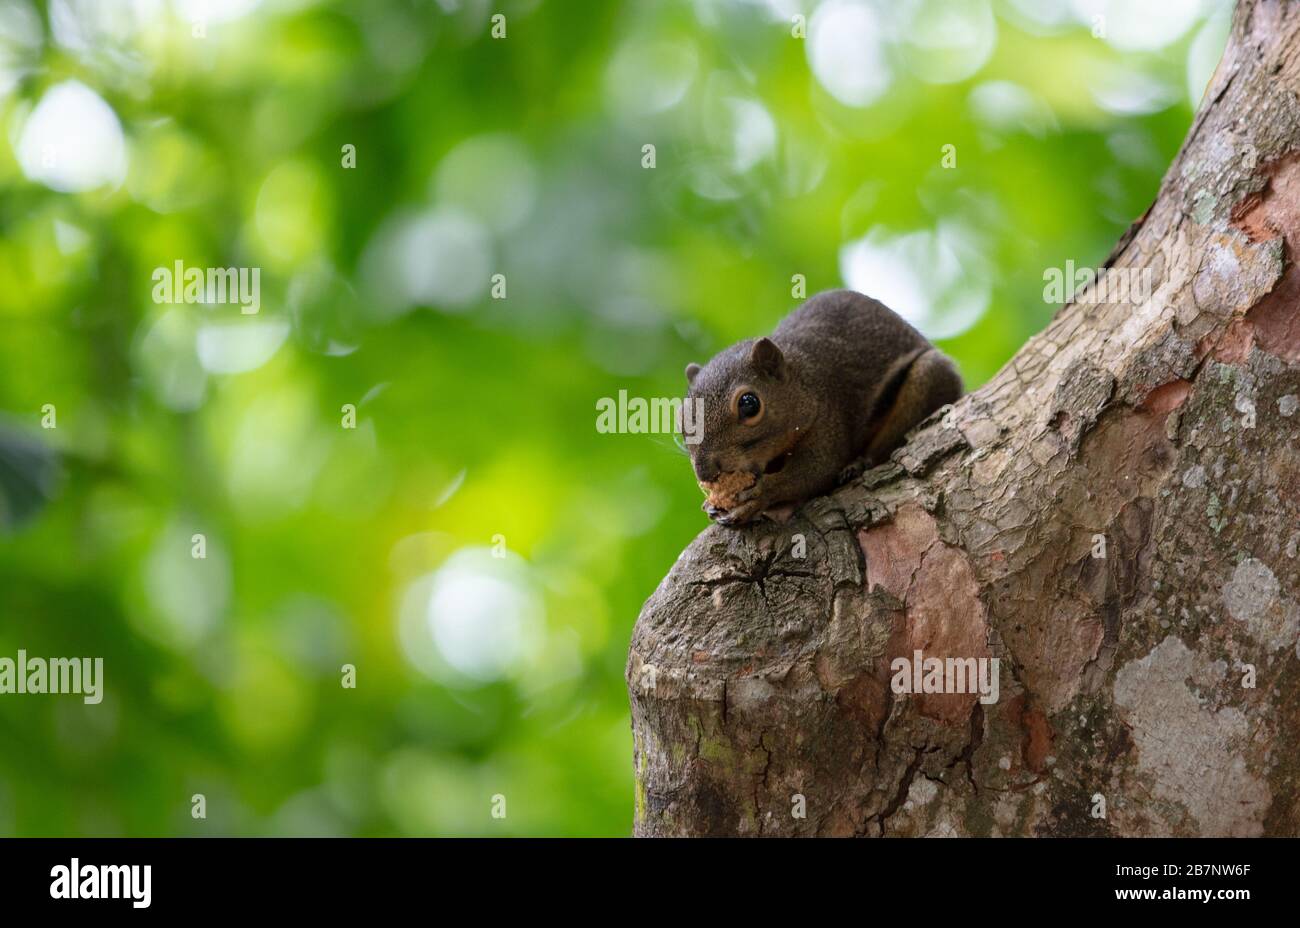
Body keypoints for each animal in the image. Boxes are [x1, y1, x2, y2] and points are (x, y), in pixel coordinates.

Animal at [686, 285, 961, 525]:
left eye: (749, 404)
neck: (801, 379)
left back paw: (859, 463)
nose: (705, 473)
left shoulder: (827, 416)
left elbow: (817, 468)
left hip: (927, 378)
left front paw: (761, 494)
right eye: (681, 418)